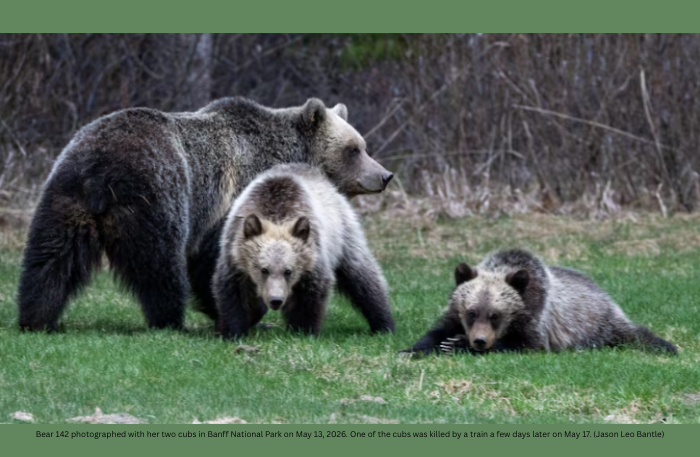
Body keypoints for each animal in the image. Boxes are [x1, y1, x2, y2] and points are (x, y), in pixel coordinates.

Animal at [212, 163, 394, 339]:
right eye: (263, 269)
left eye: (288, 271)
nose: (276, 300)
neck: (276, 215)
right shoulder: (234, 255)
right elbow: (232, 292)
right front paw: (233, 331)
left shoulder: (313, 257)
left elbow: (312, 294)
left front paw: (303, 330)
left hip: (344, 234)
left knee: (362, 276)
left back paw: (383, 323)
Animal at [401, 249, 677, 356]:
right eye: (471, 312)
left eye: (495, 315)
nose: (479, 341)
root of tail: (603, 292)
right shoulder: (453, 311)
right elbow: (436, 330)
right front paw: (415, 349)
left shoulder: (535, 318)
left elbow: (527, 344)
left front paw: (456, 344)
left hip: (598, 323)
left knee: (634, 334)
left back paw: (667, 346)